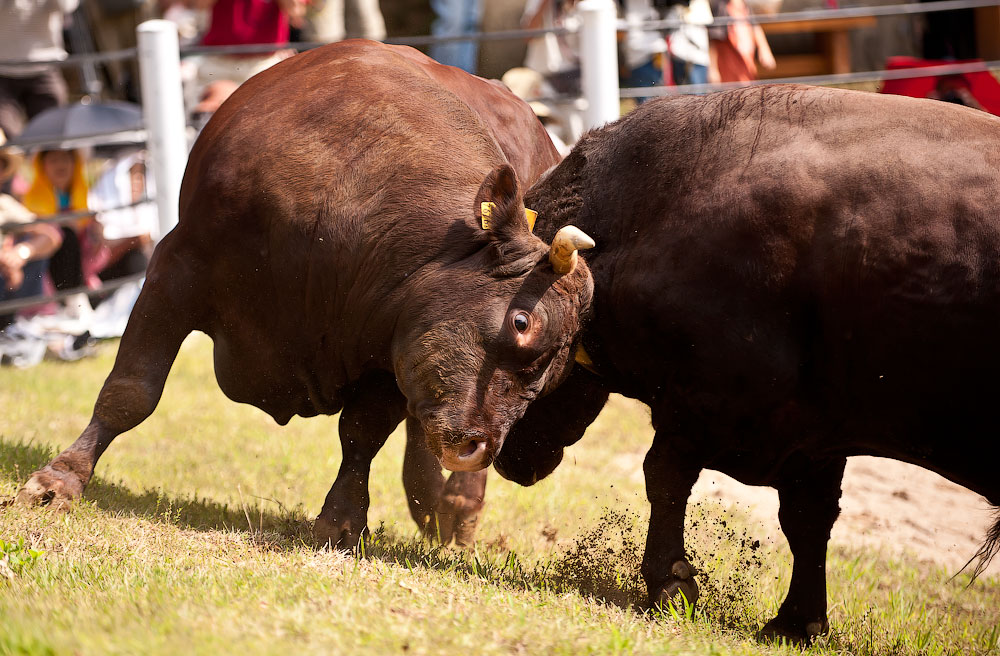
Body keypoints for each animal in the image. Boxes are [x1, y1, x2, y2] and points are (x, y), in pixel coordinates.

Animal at [15, 41, 592, 552]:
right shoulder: (176, 268)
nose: (478, 449)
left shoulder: (387, 344)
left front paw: (341, 523)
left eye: (555, 374)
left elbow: (361, 436)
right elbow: (131, 390)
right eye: (521, 322)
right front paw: (60, 480)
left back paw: (453, 511)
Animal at [490, 84, 1000, 644]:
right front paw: (798, 621)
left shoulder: (704, 400)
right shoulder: (812, 434)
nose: (501, 456)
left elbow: (665, 477)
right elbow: (808, 520)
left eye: (520, 328)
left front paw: (671, 584)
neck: (653, 212)